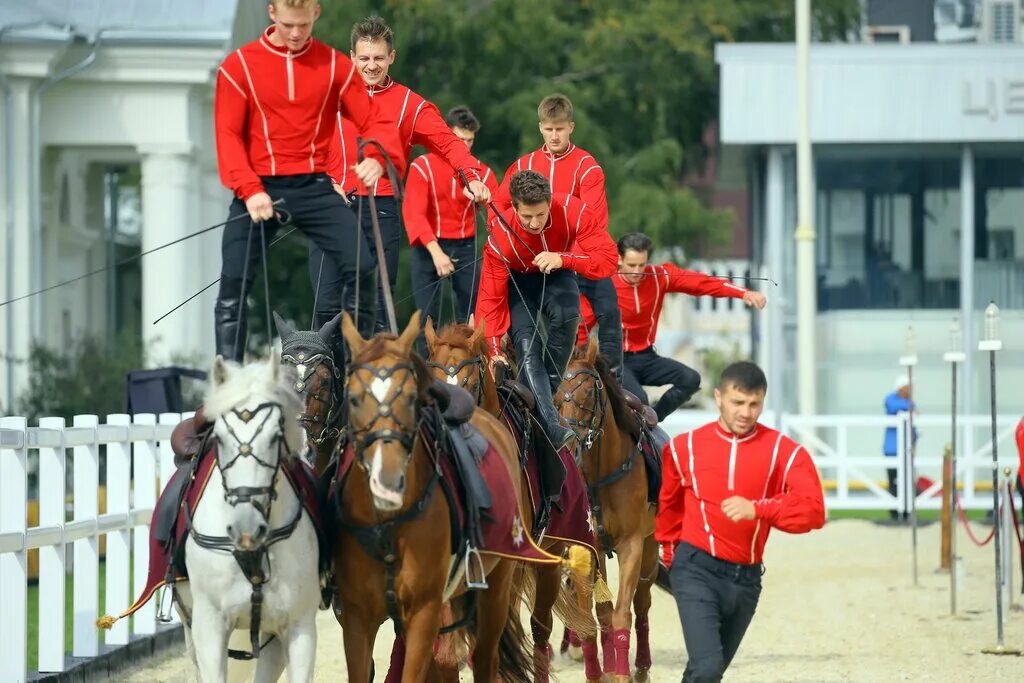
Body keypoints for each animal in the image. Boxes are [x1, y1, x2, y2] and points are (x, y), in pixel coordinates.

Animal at [329, 311, 557, 683]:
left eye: (472, 381)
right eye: (354, 397)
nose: (385, 477)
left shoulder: (428, 606)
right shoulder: (359, 615)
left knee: (498, 649)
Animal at [557, 335, 659, 683]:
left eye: (590, 391)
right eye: (557, 396)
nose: (570, 444)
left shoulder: (631, 544)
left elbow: (621, 614)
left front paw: (623, 674)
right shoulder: (585, 547)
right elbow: (593, 618)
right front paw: (598, 673)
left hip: (650, 547)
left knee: (642, 603)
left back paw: (640, 667)